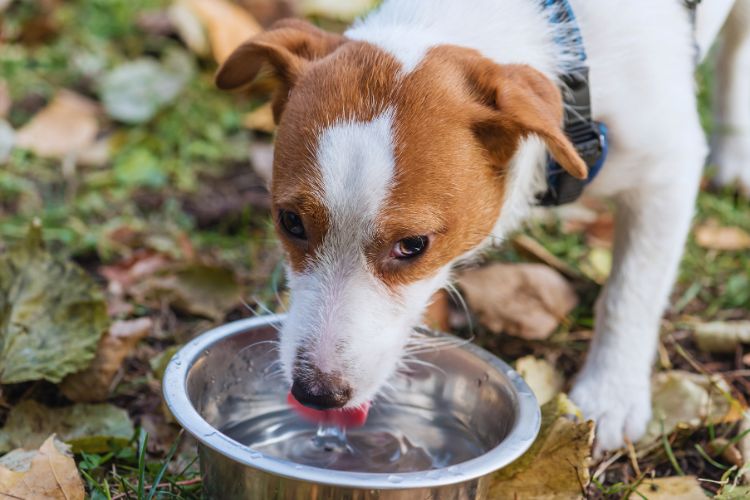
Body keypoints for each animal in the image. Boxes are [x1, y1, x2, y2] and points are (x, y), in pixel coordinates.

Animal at [216, 0, 750, 454]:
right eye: (290, 222)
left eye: (413, 245)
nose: (316, 394)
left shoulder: (667, 171)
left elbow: (629, 294)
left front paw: (610, 393)